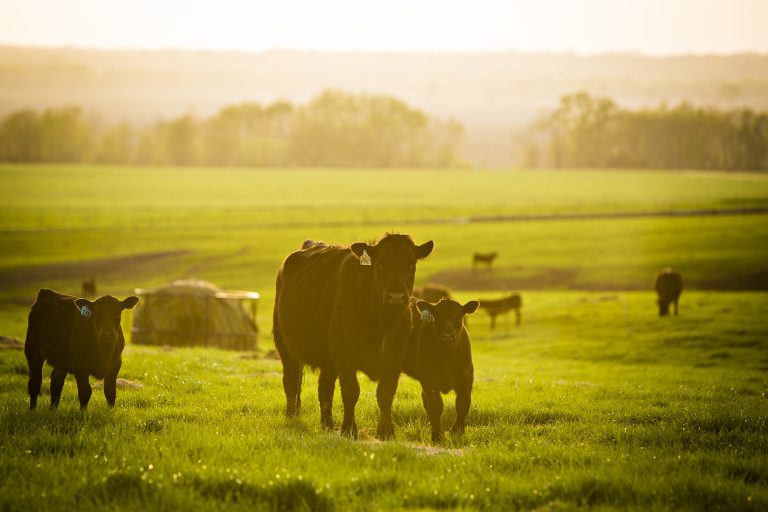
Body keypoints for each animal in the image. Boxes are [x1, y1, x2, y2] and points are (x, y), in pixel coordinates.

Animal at [273, 233, 434, 439]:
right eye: (380, 264)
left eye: (411, 264)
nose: (396, 296)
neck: (382, 322)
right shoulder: (344, 356)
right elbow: (351, 391)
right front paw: (349, 429)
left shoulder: (395, 359)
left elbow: (385, 393)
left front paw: (386, 431)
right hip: (285, 347)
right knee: (291, 382)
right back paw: (292, 417)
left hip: (328, 360)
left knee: (324, 387)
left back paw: (327, 424)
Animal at [403, 298, 479, 442]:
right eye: (437, 316)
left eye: (458, 316)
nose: (448, 335)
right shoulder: (429, 382)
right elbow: (436, 406)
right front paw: (437, 435)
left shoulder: (466, 381)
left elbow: (463, 404)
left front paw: (457, 431)